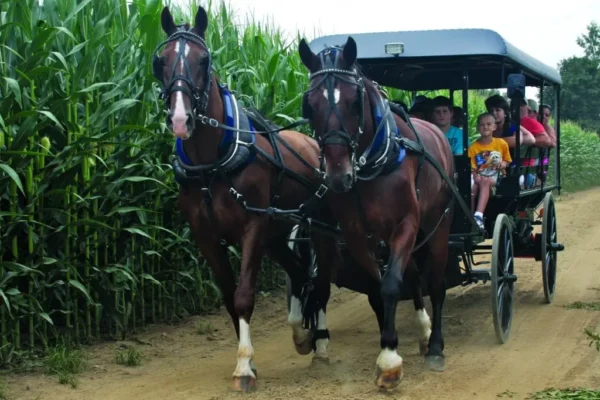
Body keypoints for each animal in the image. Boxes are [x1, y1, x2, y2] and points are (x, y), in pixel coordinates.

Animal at [154, 6, 342, 392]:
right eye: (160, 60)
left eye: (204, 59)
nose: (180, 119)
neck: (212, 164)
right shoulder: (206, 236)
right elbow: (229, 296)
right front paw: (249, 359)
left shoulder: (252, 227)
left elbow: (243, 295)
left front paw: (243, 368)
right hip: (276, 235)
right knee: (300, 272)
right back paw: (301, 335)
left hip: (318, 229)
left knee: (321, 280)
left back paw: (320, 344)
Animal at [298, 36, 458, 388]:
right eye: (309, 105)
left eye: (355, 102)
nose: (338, 177)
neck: (373, 164)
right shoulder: (358, 234)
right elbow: (377, 286)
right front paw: (388, 343)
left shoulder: (406, 225)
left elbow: (391, 286)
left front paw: (389, 360)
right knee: (414, 274)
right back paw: (423, 331)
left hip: (438, 223)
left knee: (435, 282)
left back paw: (435, 345)